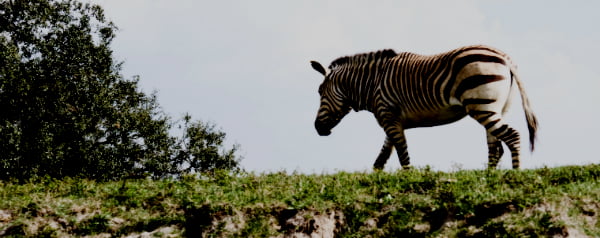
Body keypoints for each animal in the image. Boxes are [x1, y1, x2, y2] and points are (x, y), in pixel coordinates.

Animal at [310, 45, 540, 169]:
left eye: (320, 92)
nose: (317, 128)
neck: (372, 83)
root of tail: (506, 59)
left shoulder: (389, 116)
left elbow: (402, 154)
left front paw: (408, 181)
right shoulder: (391, 120)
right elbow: (381, 159)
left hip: (482, 107)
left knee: (512, 137)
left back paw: (514, 175)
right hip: (495, 108)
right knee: (495, 147)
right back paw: (488, 178)